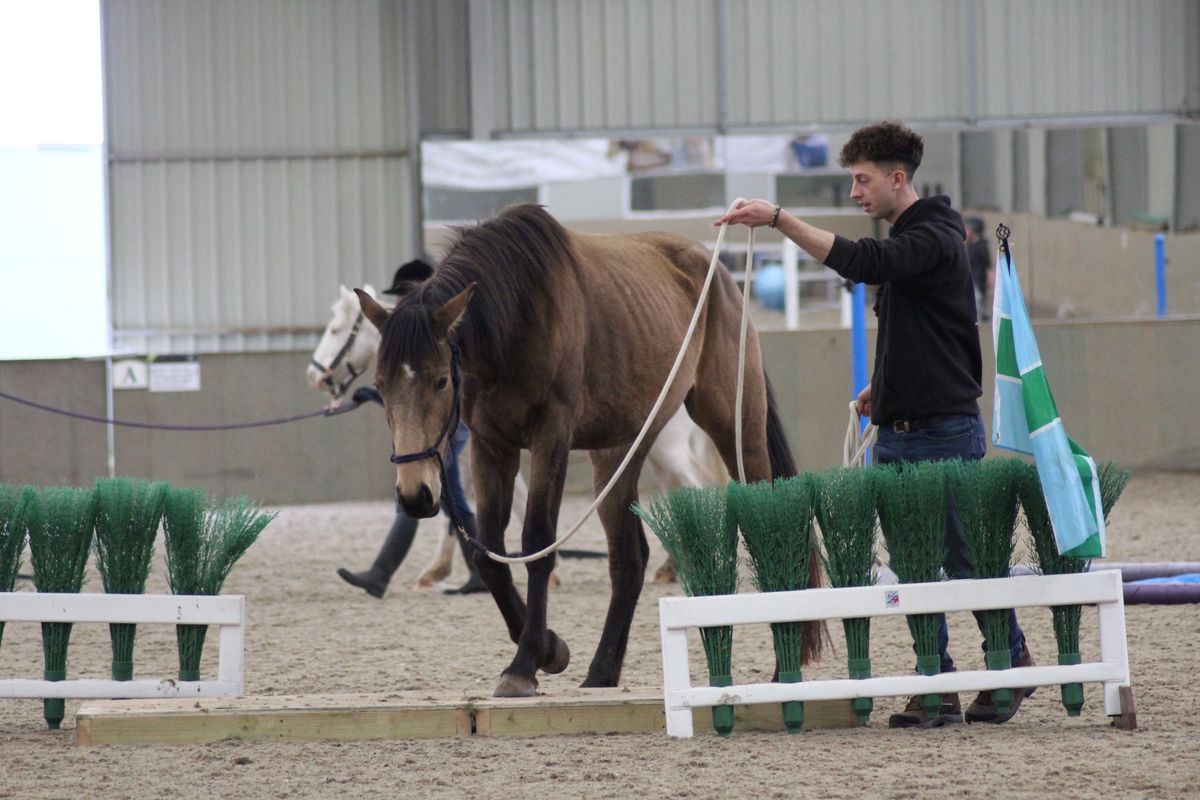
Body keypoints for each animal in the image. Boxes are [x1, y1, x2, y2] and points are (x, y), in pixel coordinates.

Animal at [357, 205, 825, 695]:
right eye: (381, 385)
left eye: (441, 380)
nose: (415, 494)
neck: (513, 319)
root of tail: (720, 277)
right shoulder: (490, 445)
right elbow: (490, 553)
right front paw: (550, 648)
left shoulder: (551, 438)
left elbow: (537, 542)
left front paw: (525, 662)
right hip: (619, 452)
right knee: (629, 557)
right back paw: (602, 670)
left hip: (736, 429)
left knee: (771, 523)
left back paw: (784, 663)